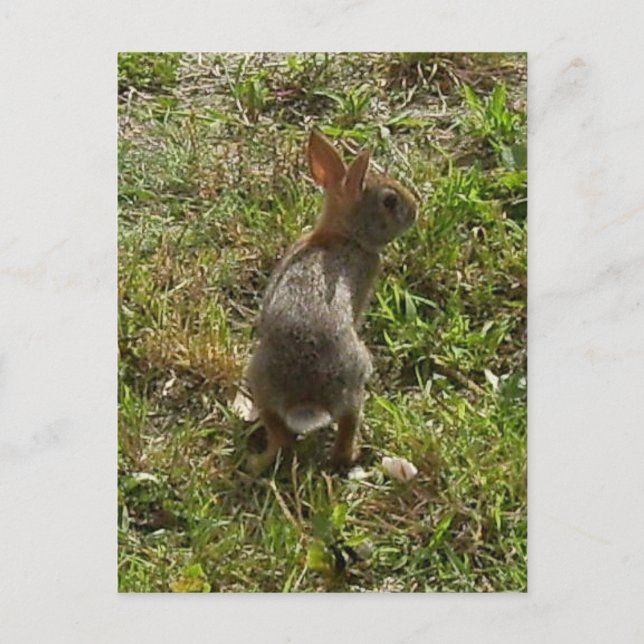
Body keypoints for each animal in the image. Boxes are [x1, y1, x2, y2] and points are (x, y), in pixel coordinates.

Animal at [246, 128, 418, 473]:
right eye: (390, 201)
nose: (416, 211)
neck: (344, 236)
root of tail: (307, 400)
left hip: (259, 382)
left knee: (280, 438)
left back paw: (256, 462)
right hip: (355, 379)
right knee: (348, 424)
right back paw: (353, 454)